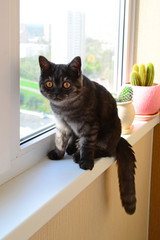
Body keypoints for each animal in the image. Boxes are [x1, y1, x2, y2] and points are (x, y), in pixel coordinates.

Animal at [38, 55, 136, 215]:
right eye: (49, 83)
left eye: (66, 84)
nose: (57, 93)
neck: (65, 109)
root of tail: (119, 139)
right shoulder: (62, 125)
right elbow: (60, 141)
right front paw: (58, 154)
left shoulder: (89, 127)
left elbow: (87, 145)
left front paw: (85, 161)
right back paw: (72, 148)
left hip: (107, 136)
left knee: (105, 151)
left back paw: (78, 155)